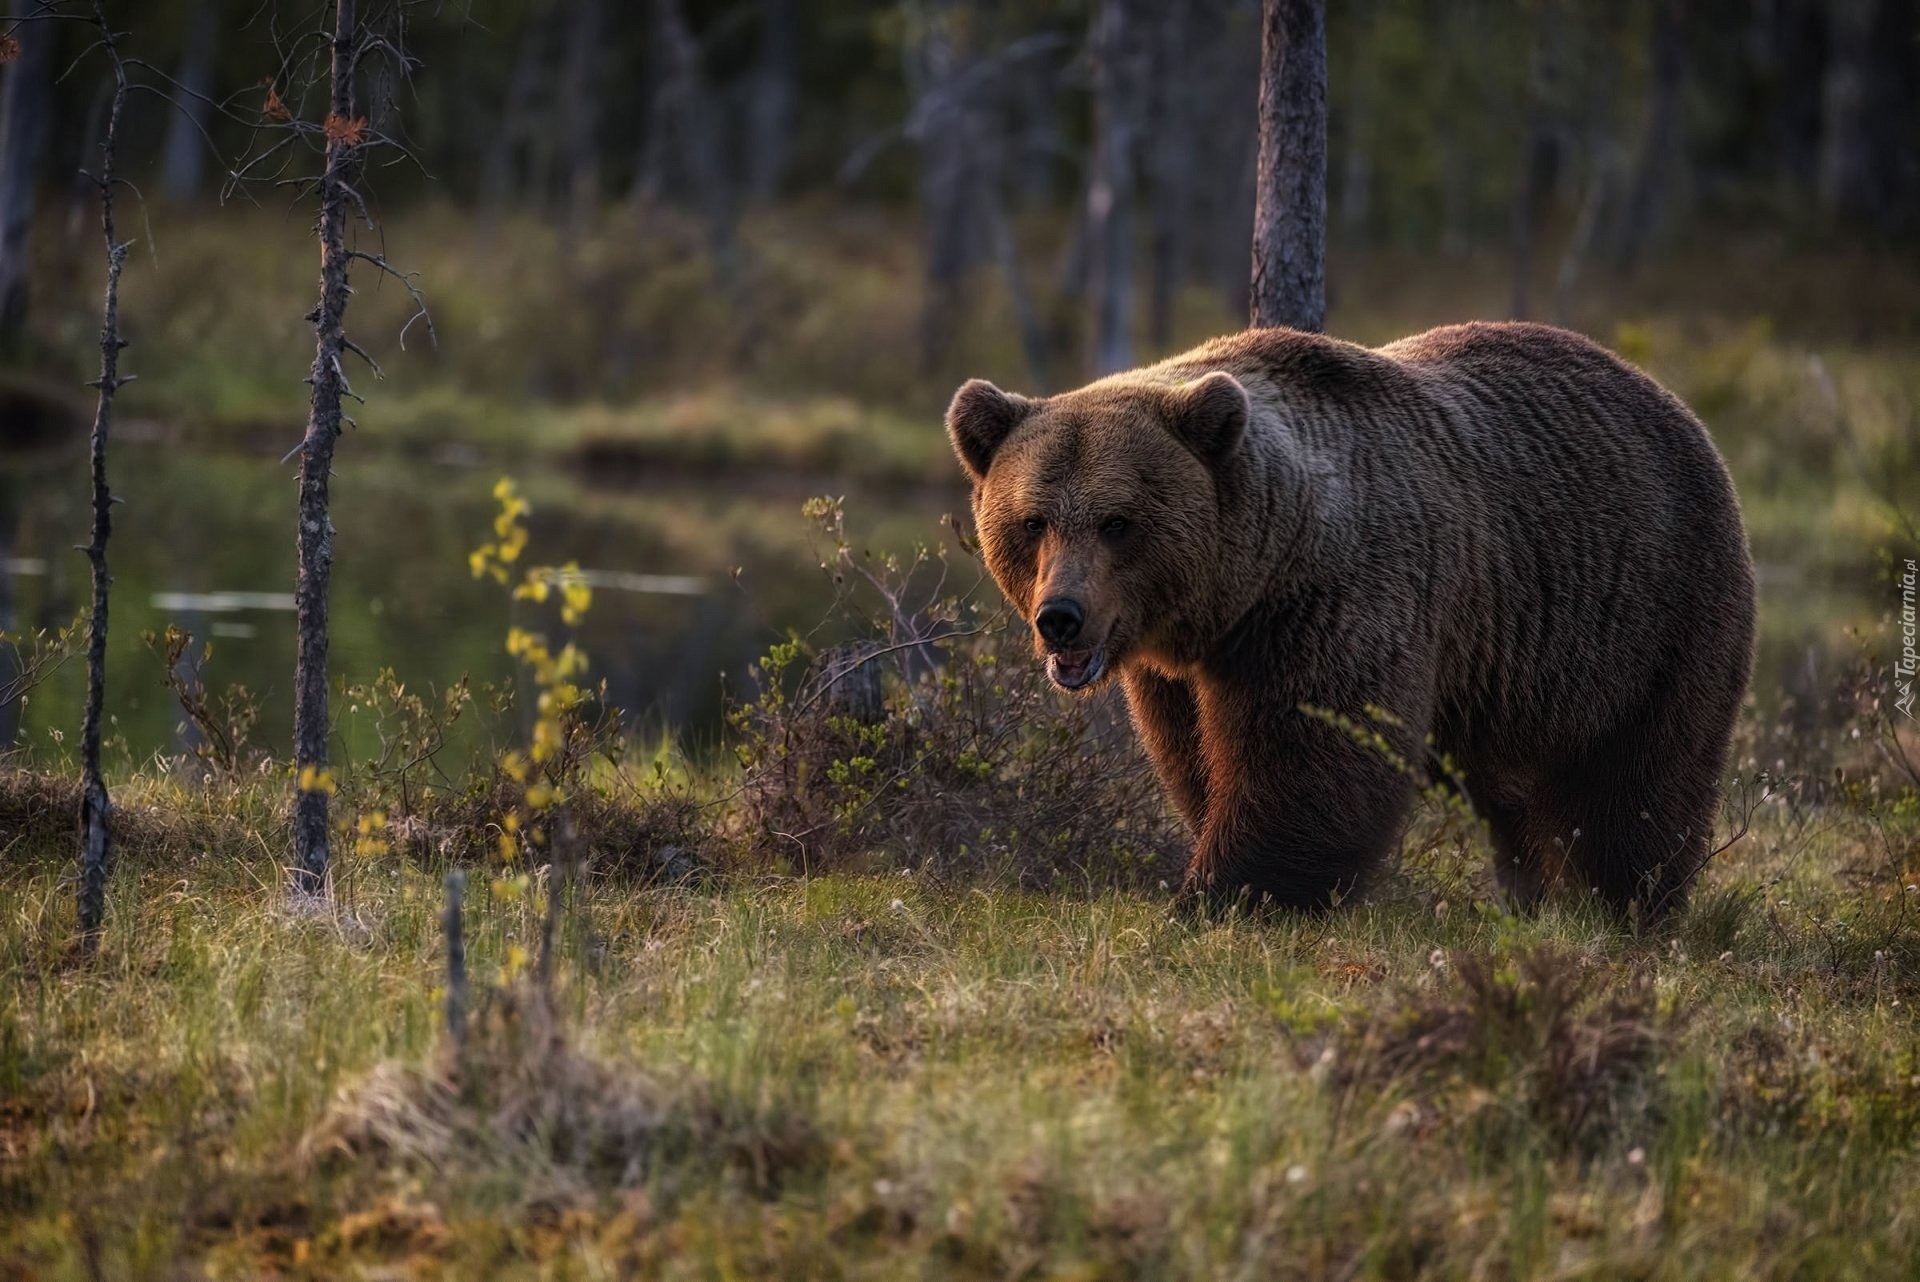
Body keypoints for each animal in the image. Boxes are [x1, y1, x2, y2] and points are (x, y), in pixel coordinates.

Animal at [944, 326, 1758, 917]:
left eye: (1118, 522)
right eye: (1032, 521)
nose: (1062, 619)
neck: (1246, 585)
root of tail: (1670, 400)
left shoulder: (1338, 603)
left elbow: (1308, 766)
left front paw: (1221, 895)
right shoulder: (1177, 666)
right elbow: (1193, 757)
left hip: (1652, 610)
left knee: (1638, 778)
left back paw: (1621, 905)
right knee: (1521, 796)